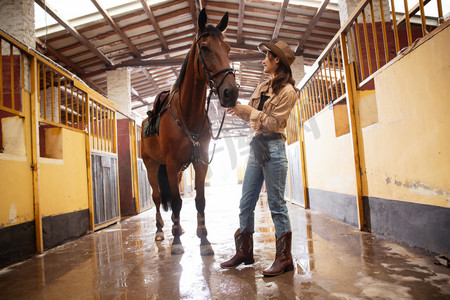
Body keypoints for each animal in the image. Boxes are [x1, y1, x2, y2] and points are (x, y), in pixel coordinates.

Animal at [141, 8, 239, 254]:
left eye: (228, 49)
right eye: (204, 48)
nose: (230, 93)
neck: (188, 114)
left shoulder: (199, 161)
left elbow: (200, 200)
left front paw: (204, 240)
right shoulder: (172, 163)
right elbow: (176, 201)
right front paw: (176, 242)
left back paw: (179, 228)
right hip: (152, 165)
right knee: (157, 197)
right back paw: (161, 231)